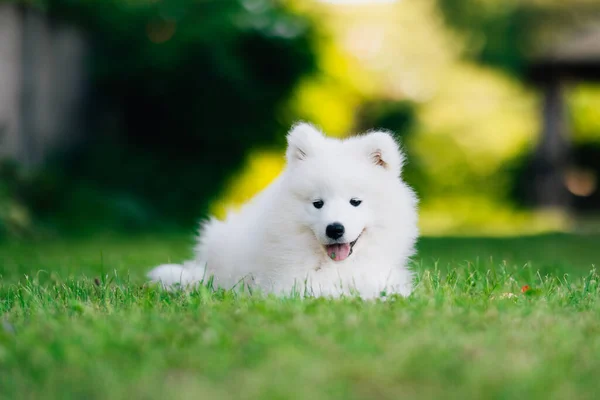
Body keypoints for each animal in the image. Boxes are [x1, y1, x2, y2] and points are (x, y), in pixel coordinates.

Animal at [148, 123, 420, 298]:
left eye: (355, 201)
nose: (334, 229)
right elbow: (325, 291)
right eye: (317, 203)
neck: (333, 264)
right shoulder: (290, 281)